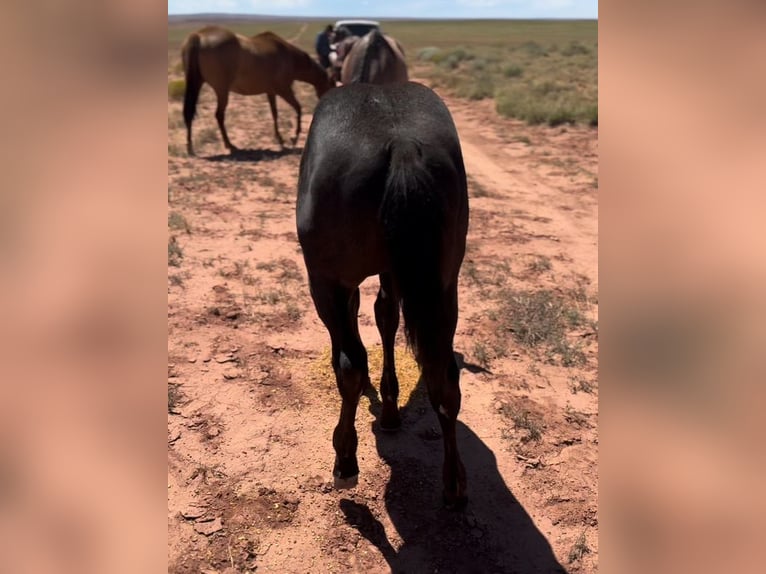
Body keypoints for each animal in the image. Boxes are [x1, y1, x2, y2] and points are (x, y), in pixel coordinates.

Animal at [183, 27, 336, 155]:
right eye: (332, 85)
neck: (290, 58)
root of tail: (198, 36)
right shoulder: (284, 90)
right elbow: (298, 108)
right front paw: (294, 137)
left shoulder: (271, 92)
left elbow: (274, 113)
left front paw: (280, 139)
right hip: (222, 91)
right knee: (219, 115)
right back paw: (230, 145)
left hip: (197, 84)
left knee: (190, 113)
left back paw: (190, 147)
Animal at [296, 82, 472, 508]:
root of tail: (402, 145)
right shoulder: (396, 272)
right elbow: (386, 316)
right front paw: (391, 409)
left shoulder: (340, 283)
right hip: (445, 283)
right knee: (445, 376)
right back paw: (454, 483)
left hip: (325, 281)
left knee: (351, 363)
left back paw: (345, 461)